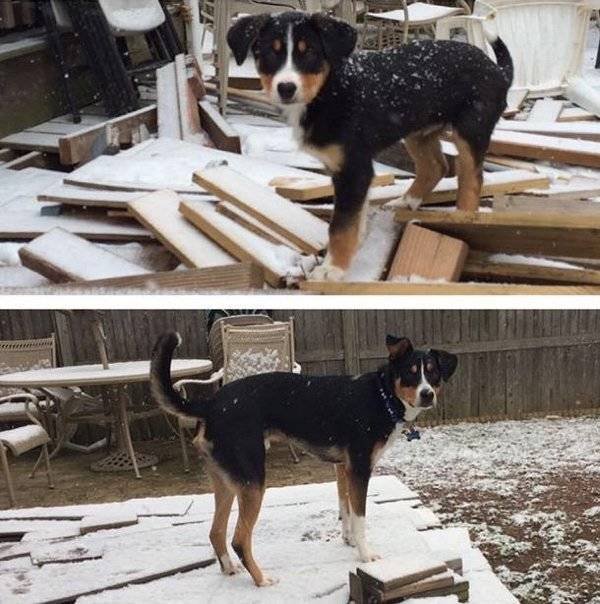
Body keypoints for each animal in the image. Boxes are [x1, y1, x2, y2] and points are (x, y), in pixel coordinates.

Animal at [151, 330, 460, 584]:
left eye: (433, 373)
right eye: (410, 373)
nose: (427, 394)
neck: (382, 397)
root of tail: (211, 403)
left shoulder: (343, 468)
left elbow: (345, 509)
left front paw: (347, 540)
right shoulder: (360, 469)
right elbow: (360, 517)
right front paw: (365, 554)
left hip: (227, 482)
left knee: (216, 532)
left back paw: (229, 569)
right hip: (253, 481)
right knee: (239, 539)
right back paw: (262, 580)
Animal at [227, 11, 512, 280]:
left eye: (309, 53)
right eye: (269, 53)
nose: (286, 88)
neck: (329, 90)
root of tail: (495, 69)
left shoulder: (354, 168)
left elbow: (341, 226)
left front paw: (333, 269)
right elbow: (354, 217)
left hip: (471, 128)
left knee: (471, 180)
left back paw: (462, 220)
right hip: (418, 130)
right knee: (435, 166)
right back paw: (405, 202)